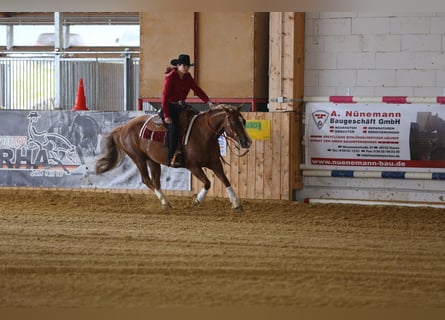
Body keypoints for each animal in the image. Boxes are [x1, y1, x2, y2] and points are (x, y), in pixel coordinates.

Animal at [95, 104, 251, 210]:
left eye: (244, 121)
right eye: (234, 122)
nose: (247, 142)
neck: (203, 134)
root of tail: (123, 127)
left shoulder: (215, 163)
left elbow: (226, 180)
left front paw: (236, 204)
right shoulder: (193, 166)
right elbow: (207, 183)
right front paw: (197, 200)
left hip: (152, 160)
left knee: (156, 181)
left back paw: (166, 203)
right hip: (138, 158)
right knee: (146, 179)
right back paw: (165, 202)